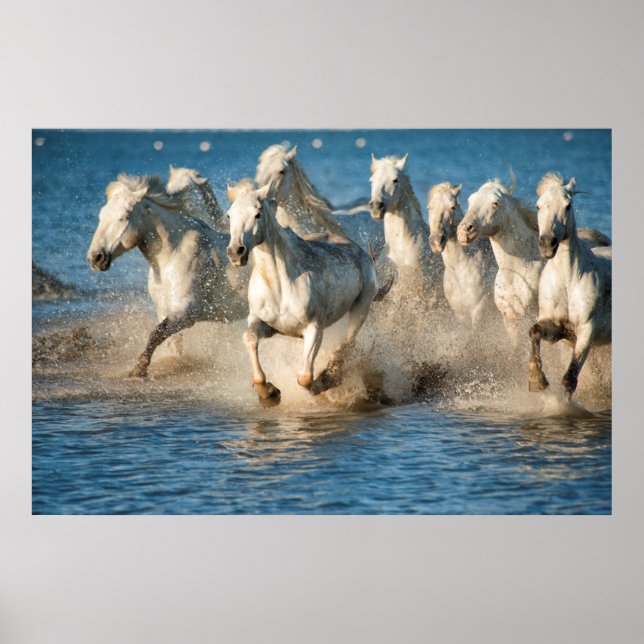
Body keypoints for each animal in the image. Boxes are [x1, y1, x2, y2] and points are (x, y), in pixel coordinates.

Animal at [86, 173, 247, 378]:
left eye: (124, 217)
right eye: (101, 216)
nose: (95, 258)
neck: (172, 257)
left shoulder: (187, 312)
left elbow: (156, 333)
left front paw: (138, 370)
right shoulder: (164, 309)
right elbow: (172, 342)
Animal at [226, 184, 389, 408]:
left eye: (257, 214)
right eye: (229, 215)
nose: (236, 252)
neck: (280, 285)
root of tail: (362, 252)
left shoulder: (313, 328)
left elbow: (304, 377)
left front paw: (321, 383)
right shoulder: (265, 324)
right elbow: (249, 339)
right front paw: (269, 394)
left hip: (361, 307)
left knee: (347, 343)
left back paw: (333, 378)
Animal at [528, 173, 611, 396]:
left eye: (568, 205)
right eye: (538, 206)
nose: (548, 244)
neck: (567, 282)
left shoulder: (586, 331)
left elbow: (569, 379)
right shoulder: (557, 328)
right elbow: (534, 331)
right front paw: (537, 380)